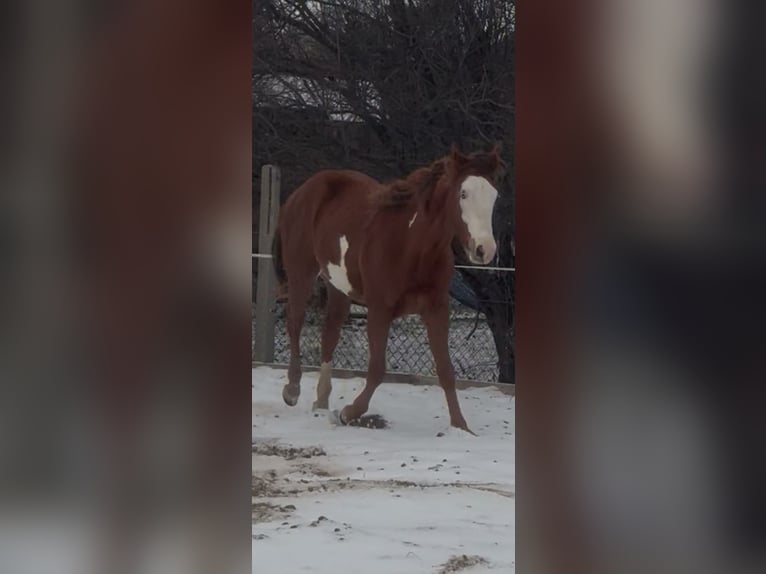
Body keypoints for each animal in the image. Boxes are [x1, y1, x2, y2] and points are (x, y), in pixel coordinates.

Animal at [272, 145, 504, 433]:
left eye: (494, 195)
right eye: (464, 193)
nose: (485, 250)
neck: (411, 245)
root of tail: (300, 192)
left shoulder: (437, 310)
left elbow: (445, 369)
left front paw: (461, 427)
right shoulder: (379, 310)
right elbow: (377, 369)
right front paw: (348, 413)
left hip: (338, 287)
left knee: (330, 333)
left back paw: (322, 401)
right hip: (300, 274)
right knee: (294, 322)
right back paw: (292, 390)